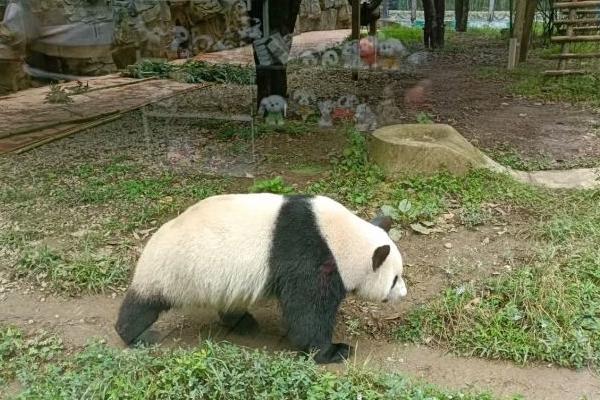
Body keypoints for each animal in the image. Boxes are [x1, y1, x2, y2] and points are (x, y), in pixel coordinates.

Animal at [115, 192, 408, 364]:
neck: (339, 238)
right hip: (174, 270)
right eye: (394, 279)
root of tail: (150, 244)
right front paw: (334, 351)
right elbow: (307, 312)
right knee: (144, 303)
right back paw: (137, 335)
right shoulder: (308, 257)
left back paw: (244, 323)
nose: (403, 294)